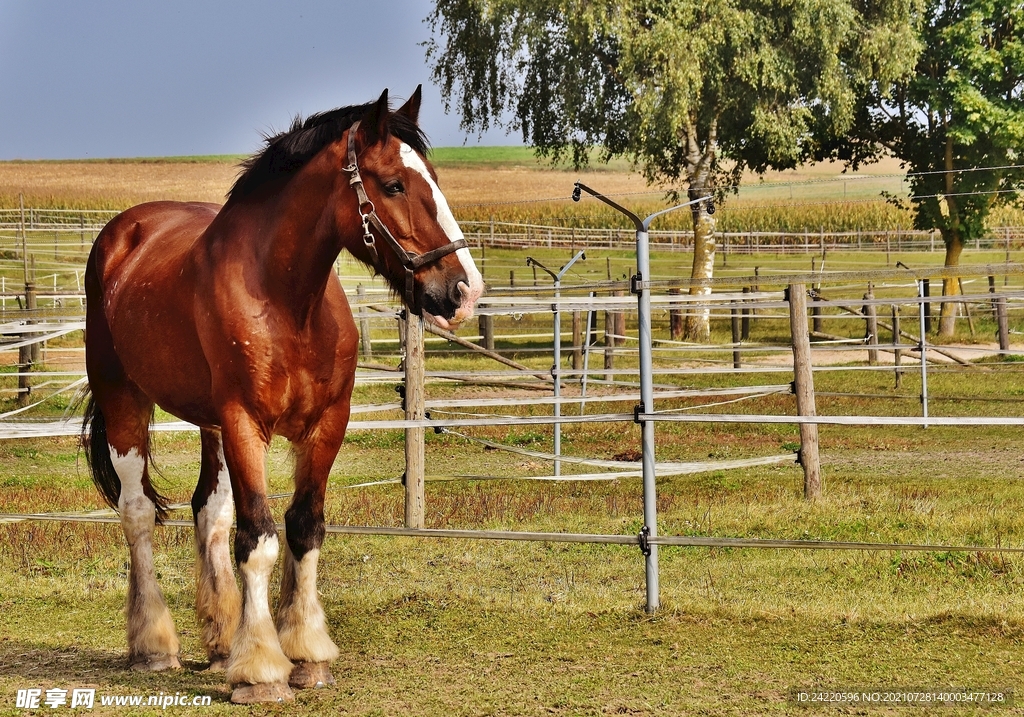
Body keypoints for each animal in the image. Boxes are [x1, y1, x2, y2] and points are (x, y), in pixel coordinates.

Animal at [82, 87, 483, 704]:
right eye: (394, 184)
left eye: (434, 178)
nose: (464, 292)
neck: (286, 303)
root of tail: (123, 233)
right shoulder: (245, 423)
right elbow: (260, 539)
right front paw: (262, 670)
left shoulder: (325, 424)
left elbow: (303, 528)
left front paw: (306, 653)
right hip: (126, 400)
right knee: (138, 513)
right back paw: (154, 645)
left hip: (210, 427)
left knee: (209, 511)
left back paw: (221, 639)